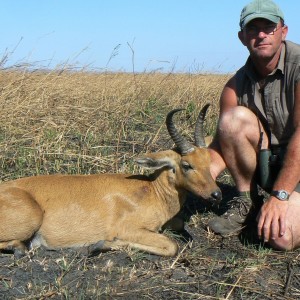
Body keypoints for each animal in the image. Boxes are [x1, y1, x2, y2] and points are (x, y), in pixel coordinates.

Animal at [0, 103, 220, 255]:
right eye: (186, 165)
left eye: (208, 160)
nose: (216, 194)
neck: (150, 191)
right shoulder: (129, 229)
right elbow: (171, 246)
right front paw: (99, 245)